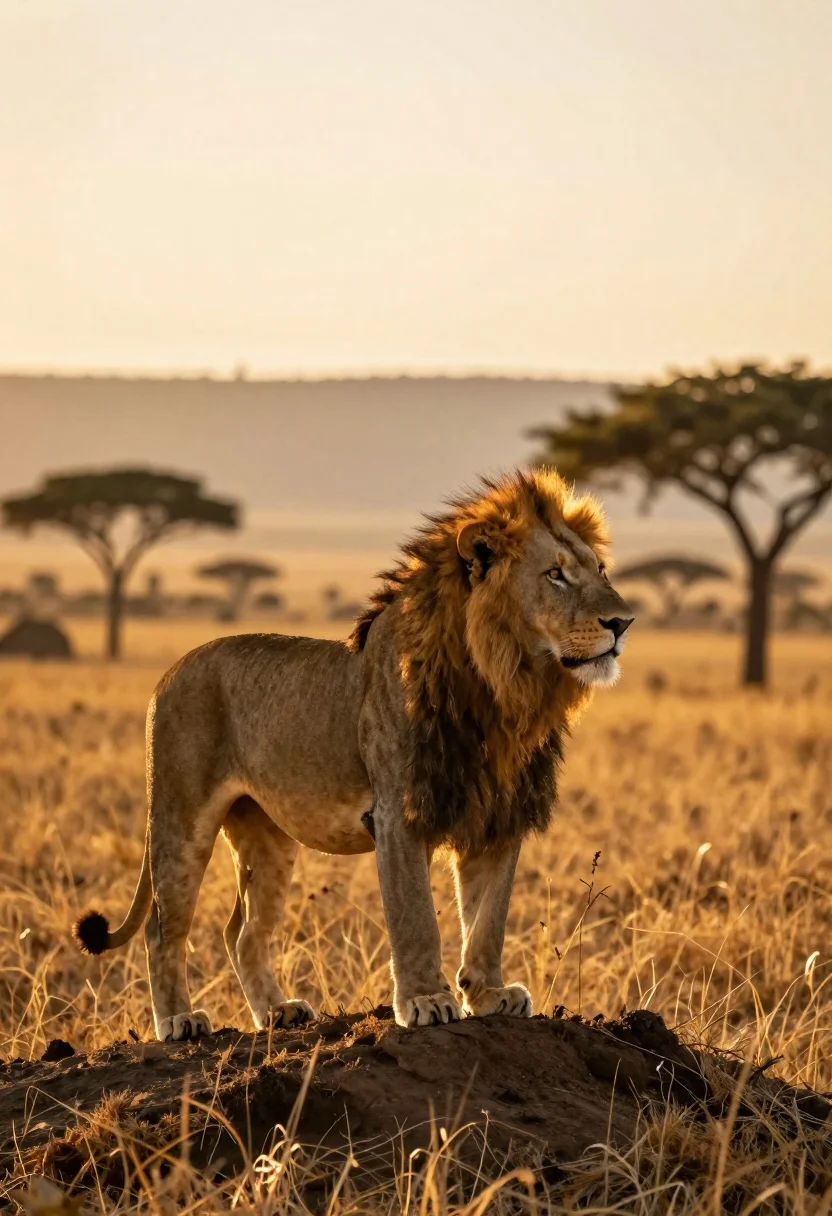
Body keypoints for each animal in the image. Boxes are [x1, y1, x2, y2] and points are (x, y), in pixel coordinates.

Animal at [74, 468, 634, 1040]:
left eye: (600, 569)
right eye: (555, 575)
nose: (623, 622)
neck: (502, 689)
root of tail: (169, 672)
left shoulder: (498, 816)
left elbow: (488, 919)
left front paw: (489, 994)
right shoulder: (397, 813)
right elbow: (416, 918)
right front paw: (426, 1000)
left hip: (267, 834)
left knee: (242, 931)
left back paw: (277, 1012)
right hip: (181, 819)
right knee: (163, 928)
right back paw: (179, 1020)